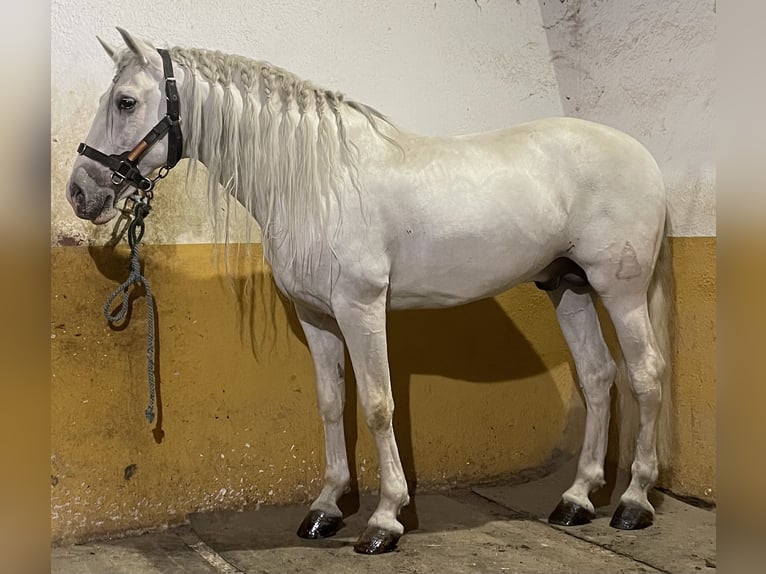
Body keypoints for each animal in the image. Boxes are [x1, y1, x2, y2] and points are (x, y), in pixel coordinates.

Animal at [69, 29, 676, 556]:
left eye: (125, 102)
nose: (79, 192)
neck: (319, 180)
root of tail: (643, 156)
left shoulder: (360, 309)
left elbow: (380, 406)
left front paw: (385, 520)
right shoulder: (316, 316)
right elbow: (331, 403)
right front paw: (325, 508)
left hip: (619, 291)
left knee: (645, 375)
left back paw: (632, 501)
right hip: (567, 287)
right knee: (597, 377)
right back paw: (577, 499)